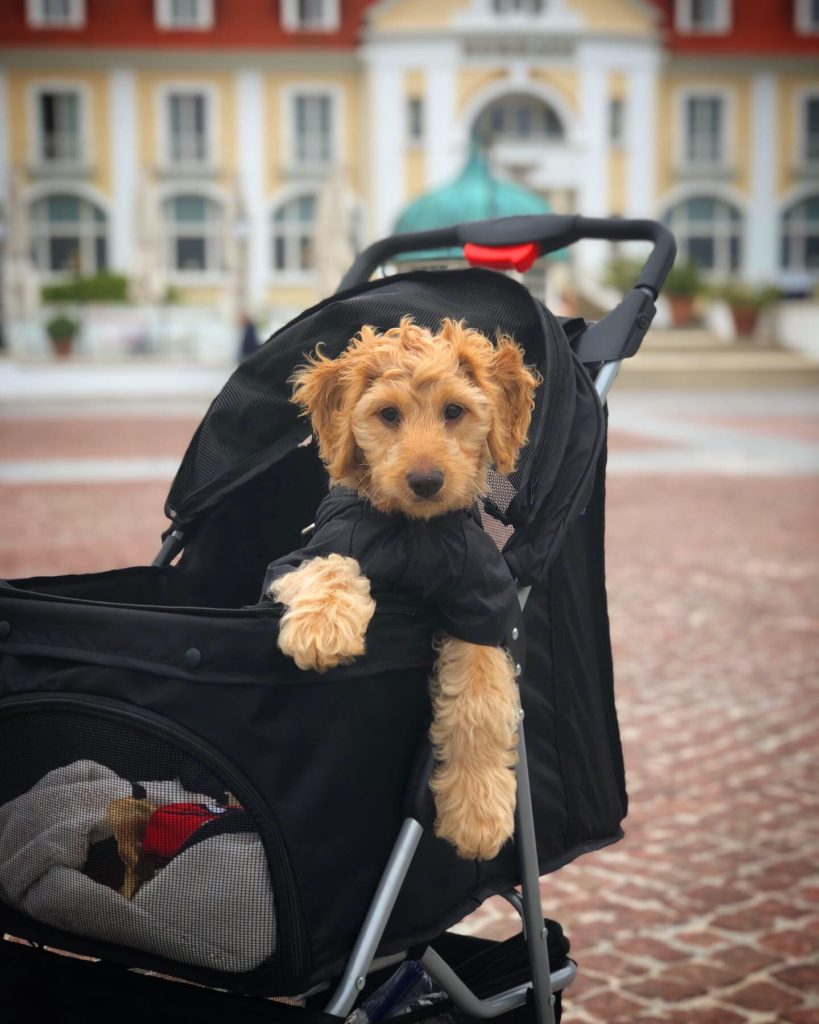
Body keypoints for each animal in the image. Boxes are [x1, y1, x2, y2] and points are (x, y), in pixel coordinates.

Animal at [266, 319, 536, 864]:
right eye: (388, 414)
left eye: (454, 411)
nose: (426, 480)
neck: (416, 534)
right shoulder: (300, 557)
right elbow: (329, 566)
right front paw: (321, 628)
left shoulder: (483, 606)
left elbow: (478, 704)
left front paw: (478, 814)